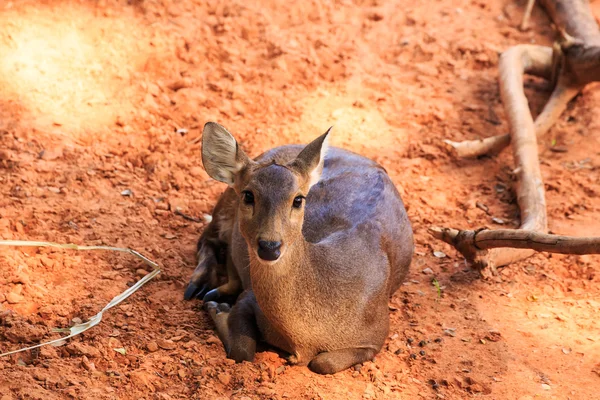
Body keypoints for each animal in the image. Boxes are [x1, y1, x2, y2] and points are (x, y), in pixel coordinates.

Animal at [183, 122, 414, 376]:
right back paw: (201, 287)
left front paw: (219, 308)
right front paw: (219, 310)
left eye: (298, 199)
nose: (269, 246)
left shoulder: (377, 334)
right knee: (207, 238)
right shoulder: (249, 298)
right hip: (224, 203)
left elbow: (323, 363)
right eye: (248, 195)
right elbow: (242, 351)